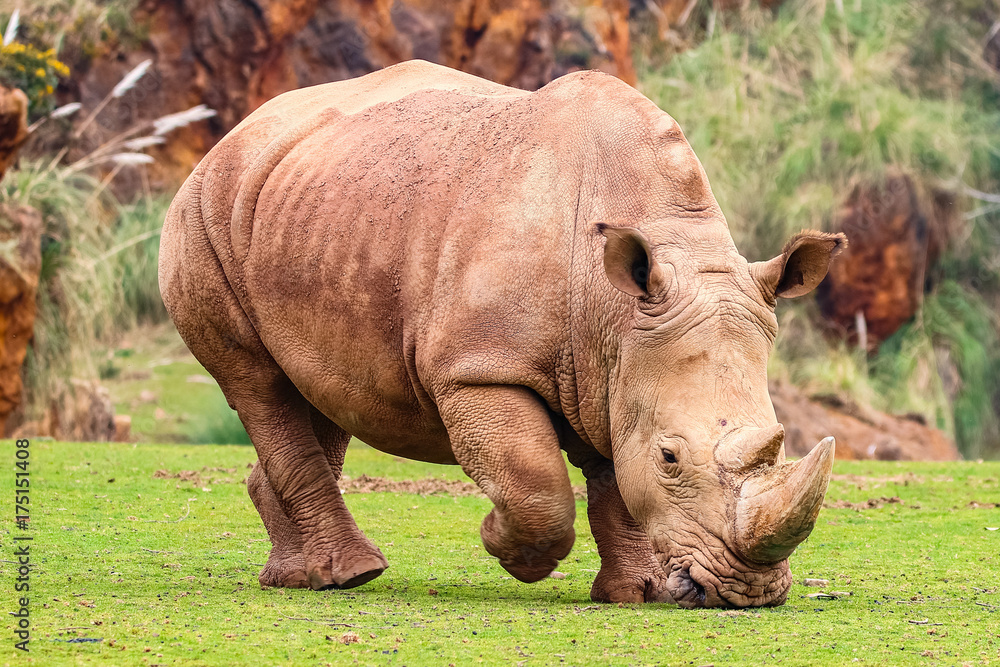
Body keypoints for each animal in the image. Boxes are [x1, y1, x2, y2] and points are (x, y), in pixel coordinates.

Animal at [159, 60, 845, 608]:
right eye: (669, 458)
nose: (746, 593)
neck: (615, 310)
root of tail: (233, 135)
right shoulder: (479, 367)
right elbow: (536, 483)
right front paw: (504, 546)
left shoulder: (613, 364)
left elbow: (614, 480)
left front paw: (637, 593)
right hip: (201, 214)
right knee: (256, 381)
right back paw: (351, 575)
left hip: (305, 209)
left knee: (319, 389)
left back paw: (296, 577)